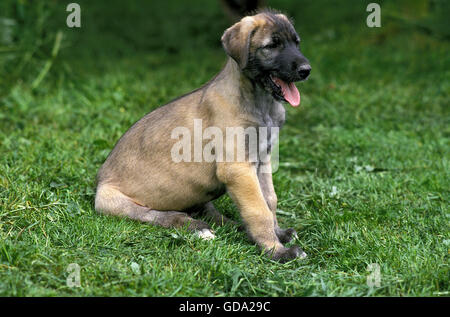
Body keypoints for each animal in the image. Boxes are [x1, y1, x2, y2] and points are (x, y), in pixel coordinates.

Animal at [96, 10, 310, 262]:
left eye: (296, 42)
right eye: (272, 46)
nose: (306, 70)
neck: (260, 102)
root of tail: (98, 182)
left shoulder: (263, 160)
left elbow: (269, 200)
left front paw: (278, 234)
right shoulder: (238, 168)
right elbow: (258, 210)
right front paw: (276, 251)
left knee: (208, 211)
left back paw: (235, 227)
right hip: (114, 201)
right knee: (160, 215)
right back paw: (197, 228)